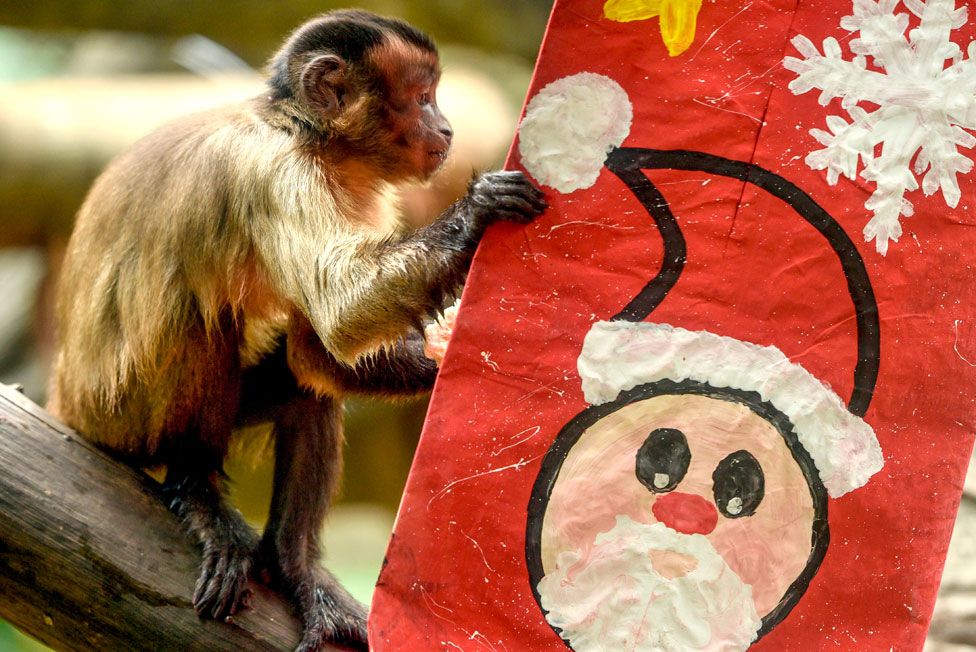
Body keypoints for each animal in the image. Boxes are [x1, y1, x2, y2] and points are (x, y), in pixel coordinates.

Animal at [47, 11, 548, 652]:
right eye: (422, 97)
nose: (446, 125)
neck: (306, 134)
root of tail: (64, 397)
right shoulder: (277, 173)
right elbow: (342, 311)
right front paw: (478, 212)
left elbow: (319, 352)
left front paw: (448, 362)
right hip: (116, 414)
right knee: (204, 315)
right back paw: (195, 486)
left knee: (306, 389)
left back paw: (295, 566)